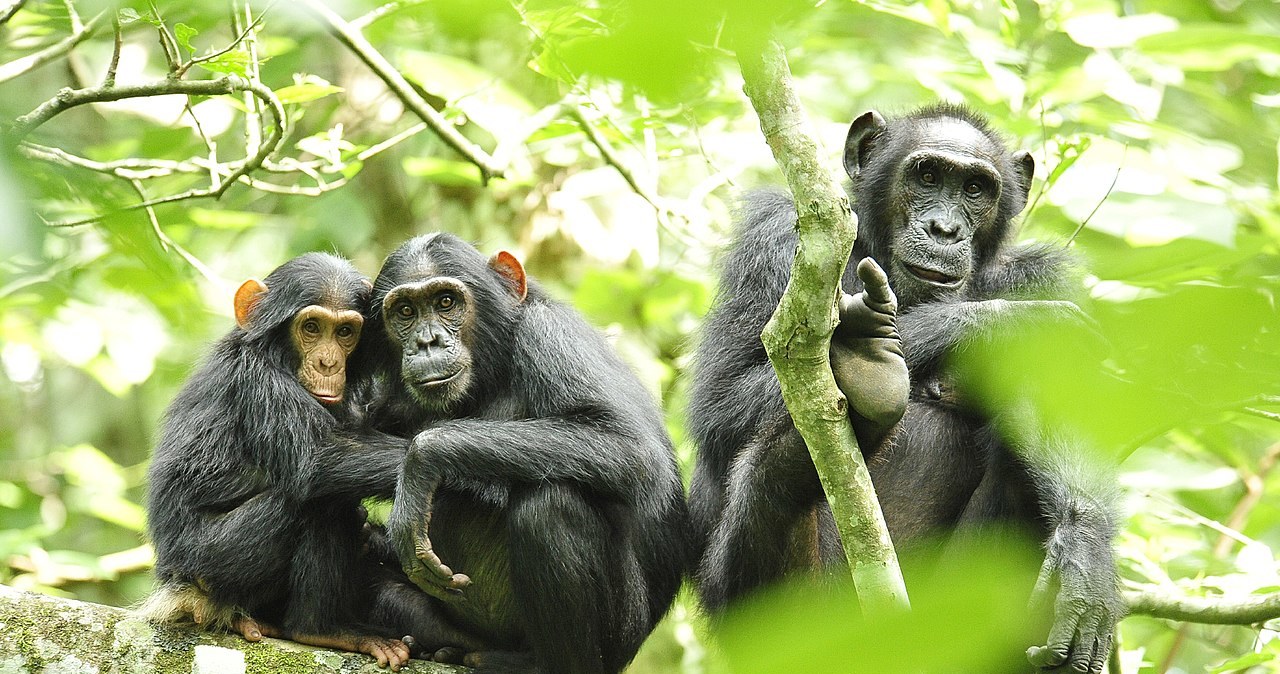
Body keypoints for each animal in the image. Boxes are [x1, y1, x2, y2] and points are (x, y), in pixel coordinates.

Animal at [140, 253, 481, 670]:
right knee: (321, 499)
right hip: (210, 561)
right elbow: (320, 457)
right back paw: (323, 629)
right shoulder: (259, 379)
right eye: (312, 327)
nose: (328, 362)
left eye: (345, 332)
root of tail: (180, 589)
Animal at [366, 234, 691, 674]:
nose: (426, 341)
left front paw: (421, 462)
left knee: (549, 507)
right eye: (405, 311)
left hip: (618, 638)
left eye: (446, 302)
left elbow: (631, 447)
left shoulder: (551, 335)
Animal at [691, 102, 1121, 670]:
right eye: (928, 176)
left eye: (976, 188)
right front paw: (1002, 324)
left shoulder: (1042, 275)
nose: (944, 228)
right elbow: (722, 401)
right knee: (772, 480)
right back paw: (863, 381)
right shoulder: (774, 237)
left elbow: (1066, 402)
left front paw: (1086, 555)